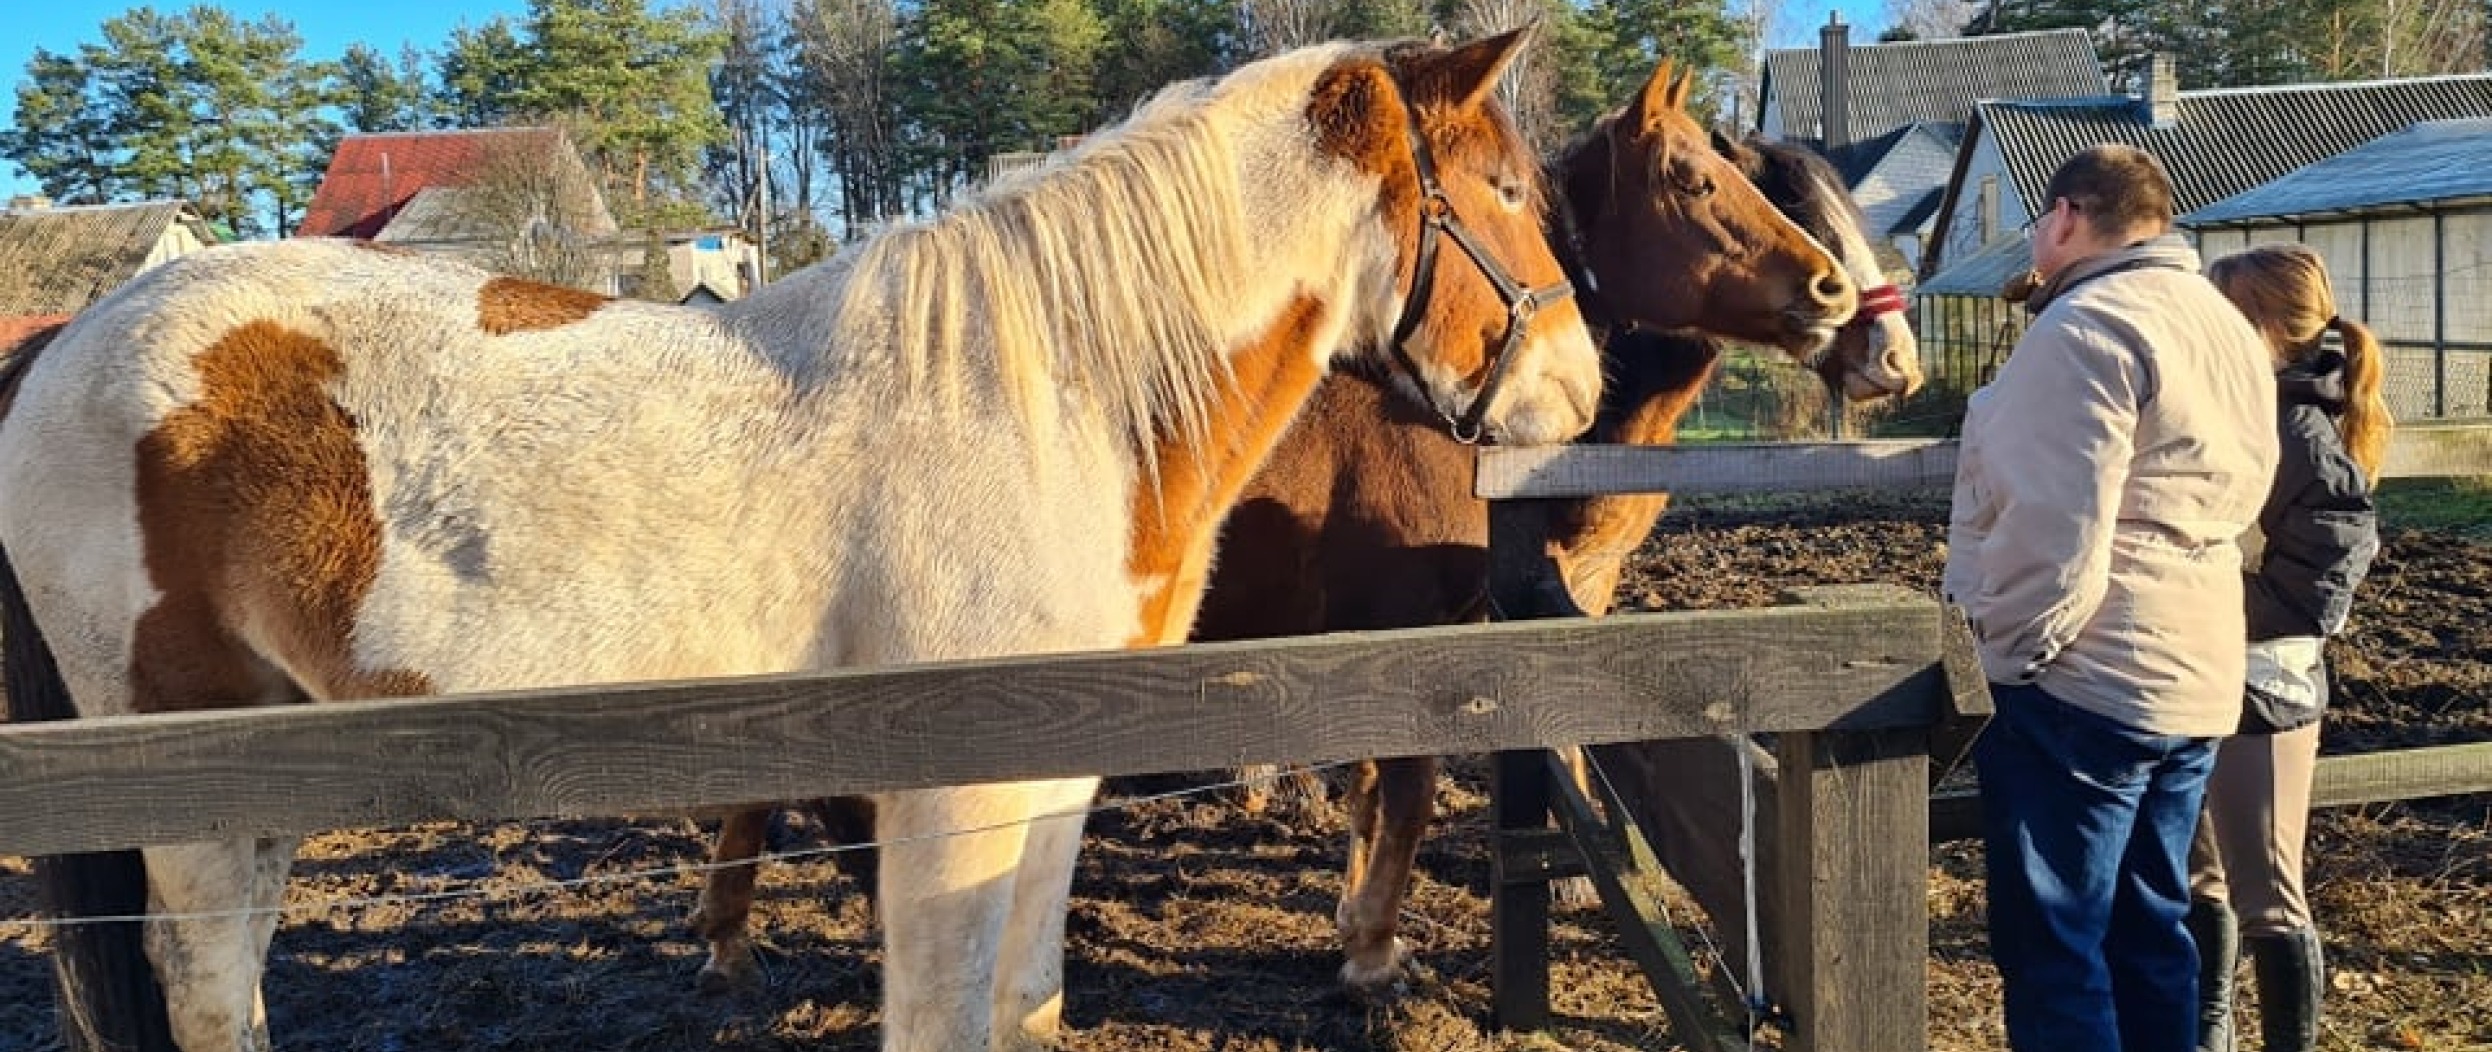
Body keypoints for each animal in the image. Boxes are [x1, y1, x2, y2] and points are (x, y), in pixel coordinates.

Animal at [0, 32, 1594, 1052]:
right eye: (1511, 192)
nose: (1580, 390)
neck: (1046, 394)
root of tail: (58, 347)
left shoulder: (1056, 780)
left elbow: (1026, 1003)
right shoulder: (951, 795)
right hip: (190, 768)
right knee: (209, 982)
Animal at [682, 61, 1883, 997]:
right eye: (1694, 178)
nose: (1833, 292)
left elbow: (1390, 785)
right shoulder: (1411, 629)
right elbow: (1403, 787)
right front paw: (1371, 944)